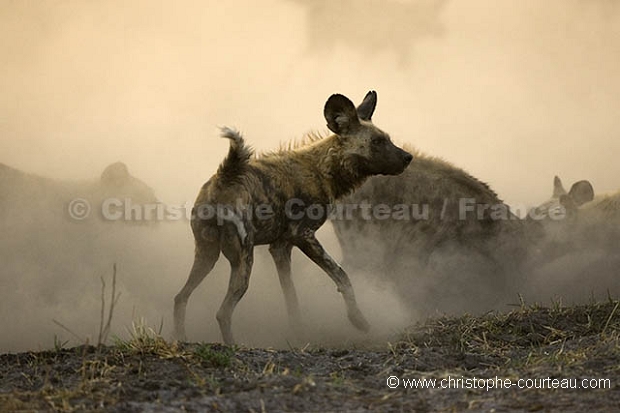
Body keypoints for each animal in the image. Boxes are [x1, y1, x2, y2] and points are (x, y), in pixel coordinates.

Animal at [173, 91, 412, 344]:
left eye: (387, 139)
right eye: (377, 142)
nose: (408, 157)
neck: (323, 168)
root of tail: (224, 177)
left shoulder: (280, 247)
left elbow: (291, 298)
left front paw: (298, 333)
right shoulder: (304, 236)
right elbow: (342, 276)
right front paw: (358, 321)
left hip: (207, 256)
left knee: (181, 297)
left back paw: (181, 338)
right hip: (243, 260)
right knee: (223, 312)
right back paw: (232, 346)